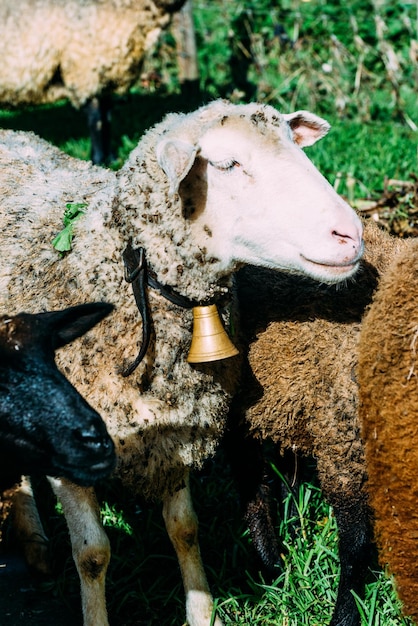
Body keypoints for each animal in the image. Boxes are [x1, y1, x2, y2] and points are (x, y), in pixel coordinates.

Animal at [0, 0, 188, 163]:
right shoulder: (86, 68)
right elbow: (96, 119)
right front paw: (99, 160)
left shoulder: (104, 76)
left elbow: (107, 117)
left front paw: (111, 157)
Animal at [0, 100, 362, 620]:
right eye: (228, 164)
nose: (351, 235)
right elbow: (92, 554)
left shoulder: (178, 426)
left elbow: (185, 530)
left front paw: (203, 613)